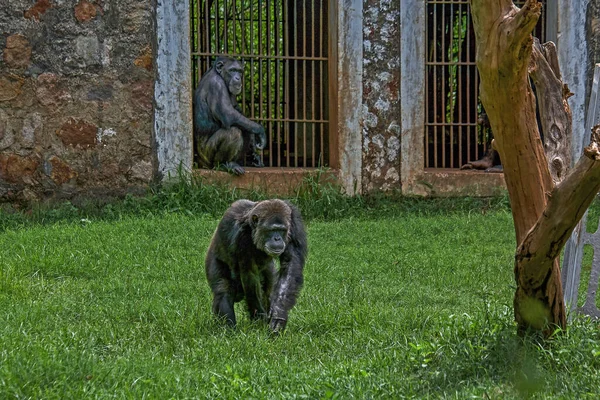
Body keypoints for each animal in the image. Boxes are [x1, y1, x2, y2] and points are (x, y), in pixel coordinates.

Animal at [206, 198, 310, 332]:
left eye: (282, 230)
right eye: (271, 230)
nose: (277, 238)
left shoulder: (294, 223)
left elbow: (291, 263)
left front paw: (278, 315)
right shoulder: (242, 237)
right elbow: (250, 275)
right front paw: (259, 320)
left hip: (268, 270)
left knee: (267, 291)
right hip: (213, 259)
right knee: (223, 290)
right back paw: (228, 330)